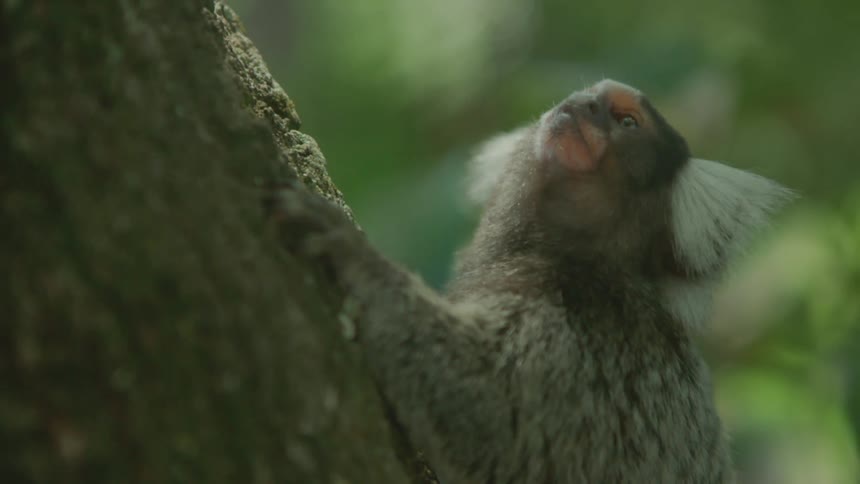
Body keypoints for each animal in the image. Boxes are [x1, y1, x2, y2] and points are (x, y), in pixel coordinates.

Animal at [269, 79, 794, 483]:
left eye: (626, 121)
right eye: (587, 95)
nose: (584, 103)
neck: (582, 263)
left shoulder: (580, 346)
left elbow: (492, 421)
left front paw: (360, 259)